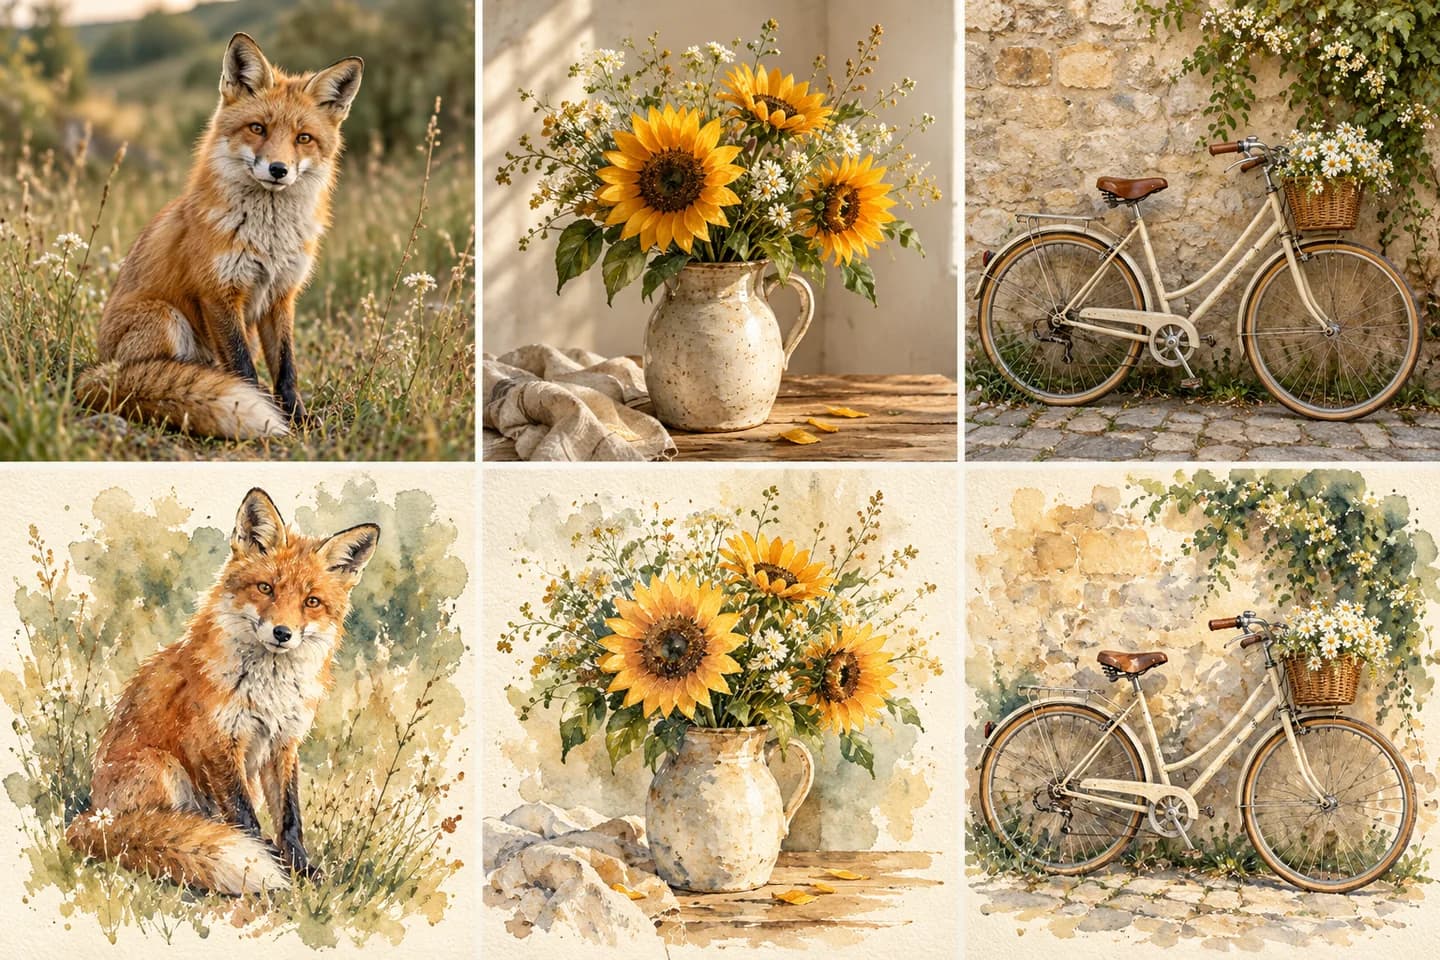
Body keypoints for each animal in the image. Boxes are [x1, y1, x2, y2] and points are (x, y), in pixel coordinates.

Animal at [65, 488, 380, 895]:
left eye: (311, 602)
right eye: (266, 588)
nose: (282, 633)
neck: (270, 690)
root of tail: (93, 816)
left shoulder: (284, 743)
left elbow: (290, 818)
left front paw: (301, 870)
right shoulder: (217, 741)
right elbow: (245, 817)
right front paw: (264, 865)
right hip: (163, 767)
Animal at [76, 34, 364, 440]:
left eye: (303, 138)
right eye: (258, 128)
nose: (278, 169)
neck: (269, 239)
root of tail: (97, 369)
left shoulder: (281, 296)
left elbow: (286, 369)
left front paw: (297, 417)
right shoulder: (219, 293)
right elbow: (243, 368)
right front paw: (259, 410)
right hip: (164, 316)